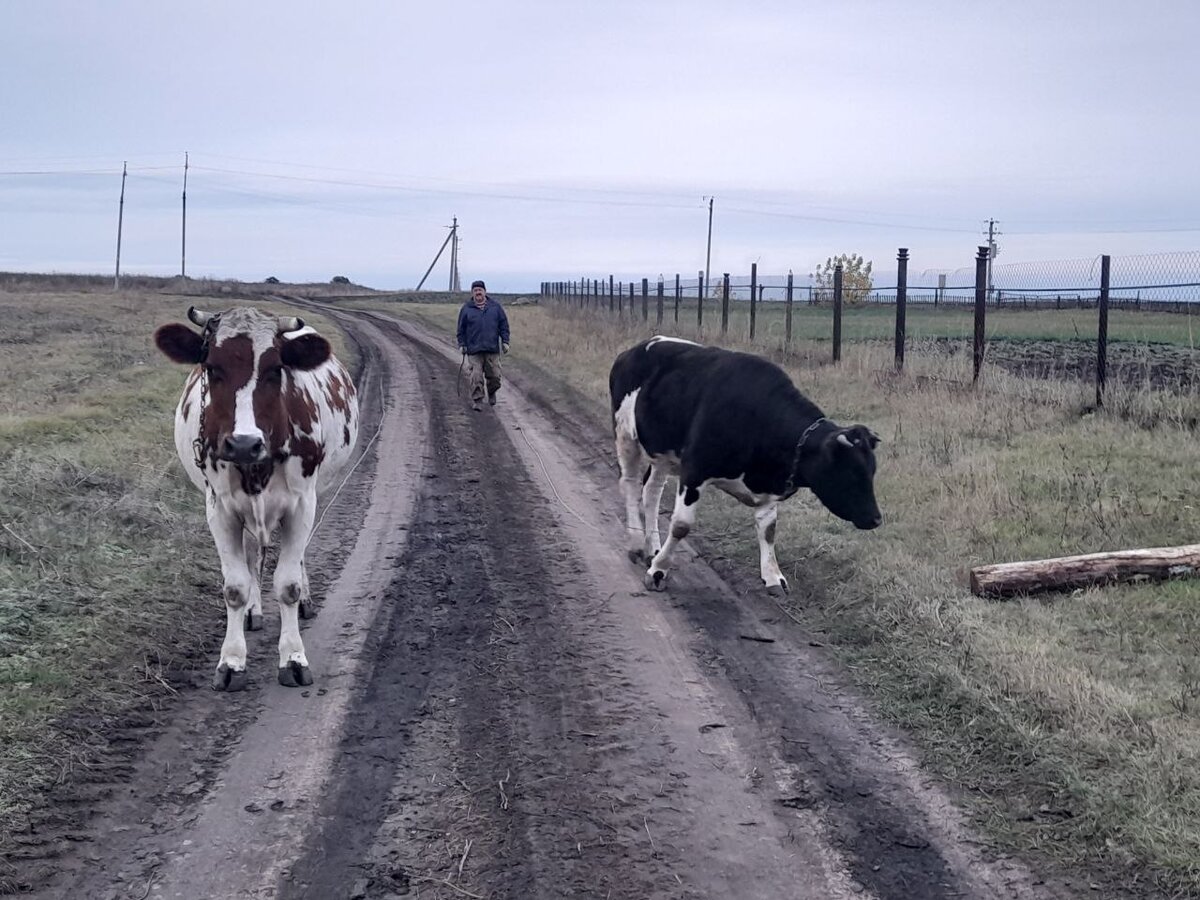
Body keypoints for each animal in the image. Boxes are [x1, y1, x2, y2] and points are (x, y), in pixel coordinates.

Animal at [152, 307, 355, 696]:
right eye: (211, 367)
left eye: (275, 369)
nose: (244, 443)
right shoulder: (219, 509)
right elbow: (235, 586)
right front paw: (231, 661)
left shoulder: (302, 504)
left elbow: (288, 584)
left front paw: (293, 658)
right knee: (251, 555)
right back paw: (252, 611)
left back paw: (304, 601)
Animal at [609, 336, 883, 595]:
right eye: (851, 473)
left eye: (872, 472)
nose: (876, 519)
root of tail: (633, 350)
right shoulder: (694, 471)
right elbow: (681, 526)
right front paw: (659, 572)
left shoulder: (772, 488)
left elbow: (768, 529)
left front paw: (773, 577)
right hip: (626, 436)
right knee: (631, 484)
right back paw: (637, 543)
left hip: (662, 452)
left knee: (651, 491)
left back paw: (652, 548)